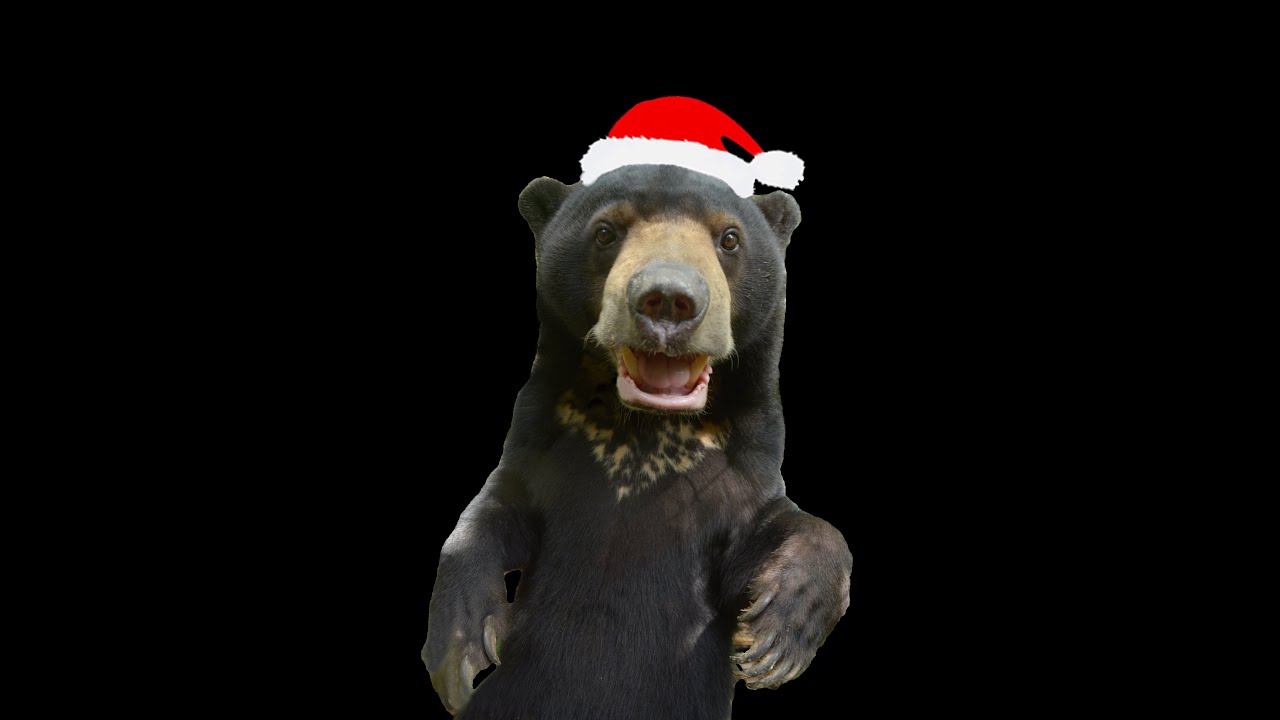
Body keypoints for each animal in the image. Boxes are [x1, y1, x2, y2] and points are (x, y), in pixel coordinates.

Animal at [422, 162, 852, 719]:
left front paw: (776, 641)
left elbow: (788, 532)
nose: (668, 299)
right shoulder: (540, 445)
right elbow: (491, 513)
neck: (642, 435)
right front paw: (458, 655)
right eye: (606, 232)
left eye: (729, 238)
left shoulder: (738, 476)